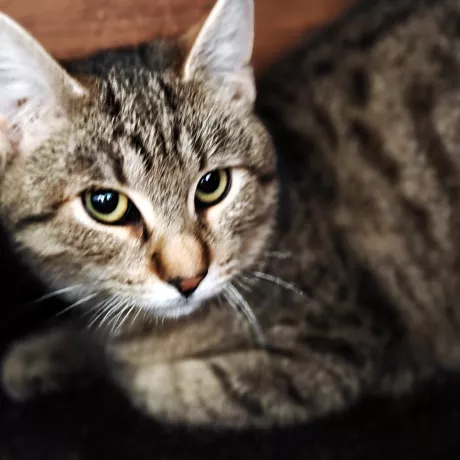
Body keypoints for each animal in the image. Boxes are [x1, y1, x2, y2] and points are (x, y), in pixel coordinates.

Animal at [2, 0, 460, 428]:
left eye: (212, 185)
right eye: (105, 204)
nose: (188, 279)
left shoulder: (336, 350)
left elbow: (162, 387)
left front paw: (109, 362)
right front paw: (47, 352)